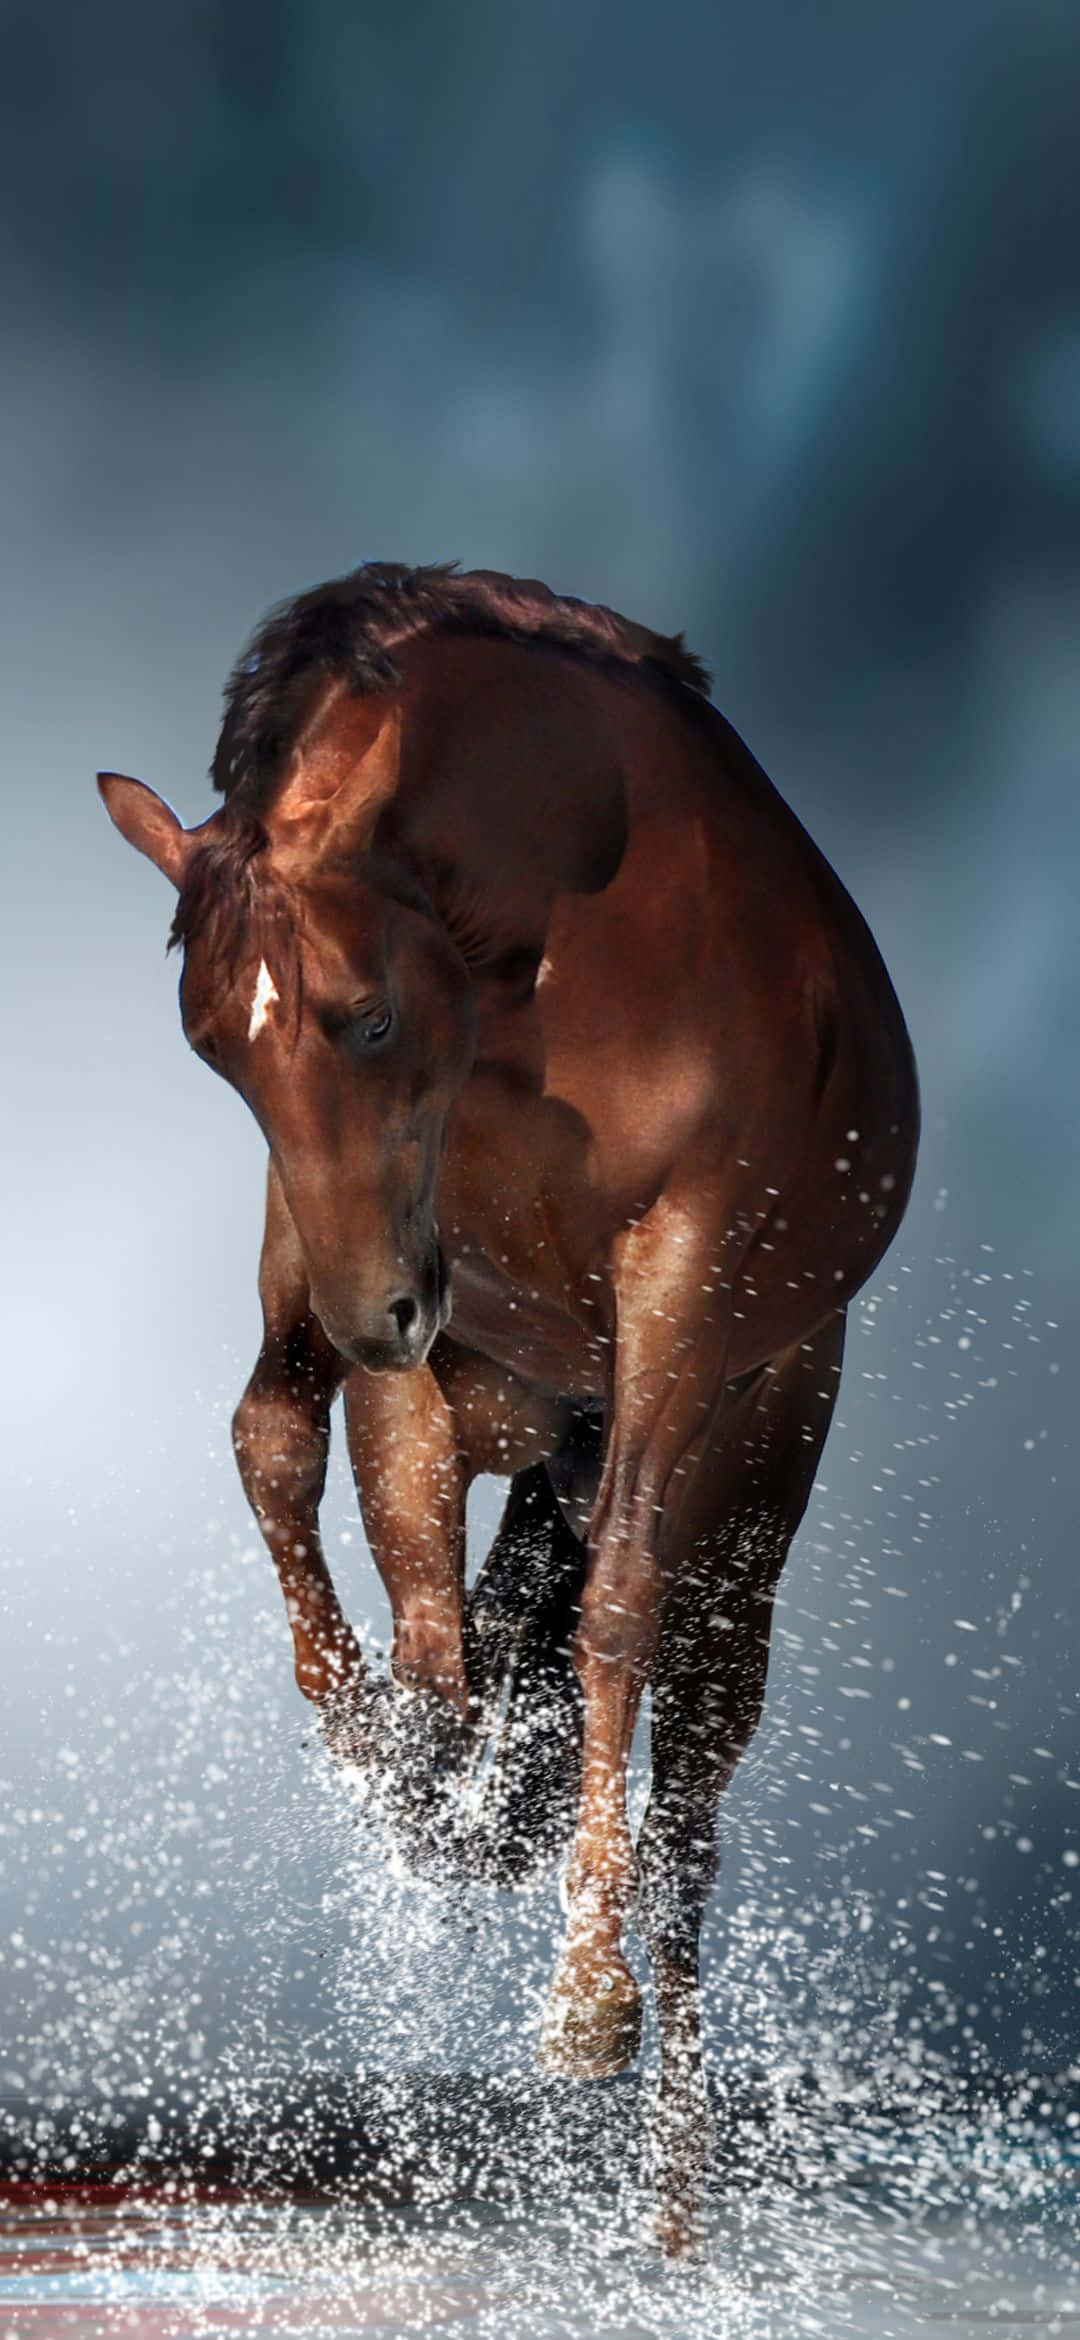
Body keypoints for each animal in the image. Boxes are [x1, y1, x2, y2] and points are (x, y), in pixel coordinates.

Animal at [99, 562, 919, 2250]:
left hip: (755, 1479)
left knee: (687, 1816)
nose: (381, 1320)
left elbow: (608, 1616)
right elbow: (352, 1531)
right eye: (216, 1050)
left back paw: (671, 2199)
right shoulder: (374, 1265)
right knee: (371, 1531)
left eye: (362, 1015)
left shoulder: (678, 1282)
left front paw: (584, 2005)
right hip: (467, 1373)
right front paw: (401, 1771)